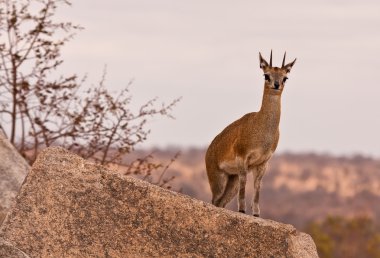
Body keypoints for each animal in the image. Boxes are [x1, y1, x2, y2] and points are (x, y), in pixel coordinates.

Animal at [205, 50, 296, 216]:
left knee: (221, 202)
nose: (276, 85)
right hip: (218, 179)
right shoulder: (243, 159)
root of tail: (209, 150)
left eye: (285, 77)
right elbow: (244, 184)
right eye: (266, 75)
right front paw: (242, 210)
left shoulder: (262, 163)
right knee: (215, 200)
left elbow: (257, 186)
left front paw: (256, 213)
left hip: (231, 180)